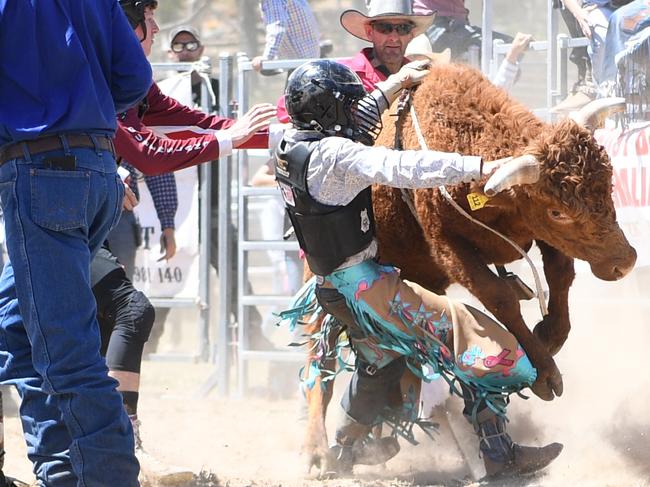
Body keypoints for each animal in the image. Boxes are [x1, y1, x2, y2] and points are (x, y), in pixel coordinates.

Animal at [302, 63, 636, 474]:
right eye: (558, 211)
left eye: (606, 185)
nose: (625, 261)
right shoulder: (449, 245)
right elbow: (500, 296)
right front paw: (544, 373)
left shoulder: (536, 234)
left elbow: (560, 277)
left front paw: (548, 336)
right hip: (323, 286)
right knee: (320, 356)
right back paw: (319, 450)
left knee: (393, 360)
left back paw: (375, 437)